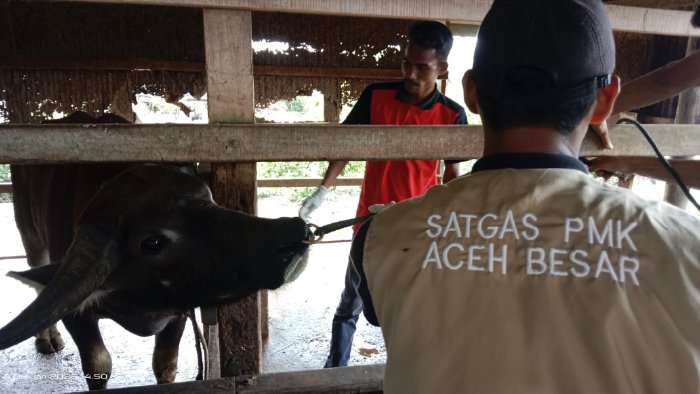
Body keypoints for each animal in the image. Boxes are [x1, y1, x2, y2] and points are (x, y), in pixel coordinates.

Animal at [0, 112, 312, 390]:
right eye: (152, 242)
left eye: (210, 198)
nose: (293, 232)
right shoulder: (76, 315)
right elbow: (98, 367)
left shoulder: (178, 312)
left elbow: (165, 364)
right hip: (28, 232)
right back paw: (46, 339)